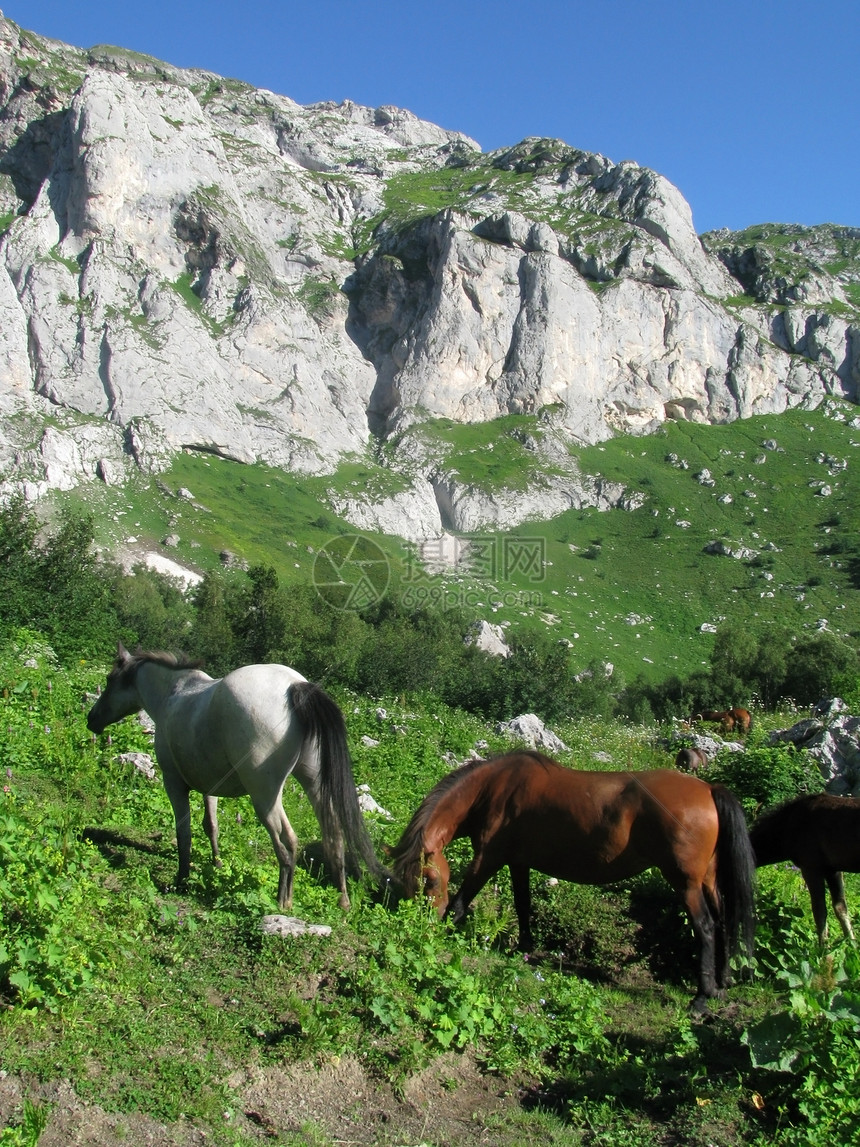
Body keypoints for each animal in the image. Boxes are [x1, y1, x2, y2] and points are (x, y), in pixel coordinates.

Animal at [86, 646, 389, 903]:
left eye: (110, 679)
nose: (92, 719)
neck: (174, 693)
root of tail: (294, 686)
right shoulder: (209, 786)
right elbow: (211, 825)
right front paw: (217, 863)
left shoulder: (173, 782)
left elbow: (184, 831)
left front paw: (182, 879)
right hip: (312, 783)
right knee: (334, 836)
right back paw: (342, 901)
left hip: (265, 795)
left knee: (286, 842)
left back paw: (283, 901)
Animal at [389, 752, 752, 1013]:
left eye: (429, 879)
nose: (423, 922)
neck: (490, 790)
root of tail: (708, 789)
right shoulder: (518, 862)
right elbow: (523, 905)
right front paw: (524, 947)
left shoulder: (488, 858)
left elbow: (462, 900)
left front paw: (445, 932)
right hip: (708, 880)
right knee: (723, 922)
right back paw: (721, 985)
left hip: (685, 882)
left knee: (705, 927)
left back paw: (701, 998)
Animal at [747, 793, 860, 945]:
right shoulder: (833, 870)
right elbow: (840, 908)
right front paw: (851, 943)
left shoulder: (811, 868)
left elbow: (819, 911)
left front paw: (823, 946)